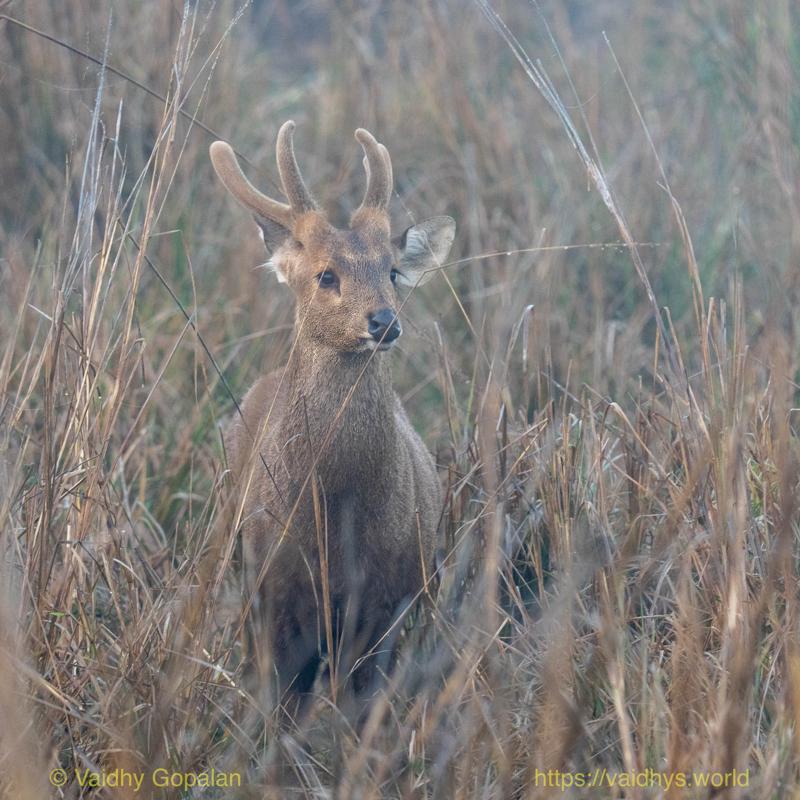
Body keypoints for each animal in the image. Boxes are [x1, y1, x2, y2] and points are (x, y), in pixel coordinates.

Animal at [210, 121, 455, 718]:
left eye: (392, 271)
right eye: (326, 275)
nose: (384, 321)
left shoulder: (385, 602)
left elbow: (359, 710)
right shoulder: (274, 591)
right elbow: (279, 708)